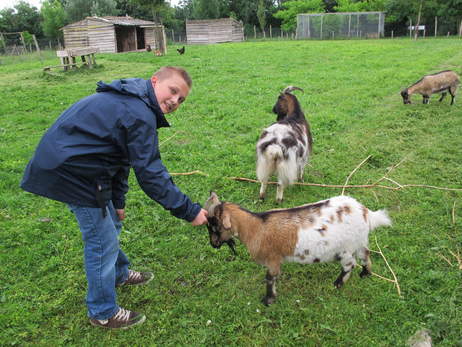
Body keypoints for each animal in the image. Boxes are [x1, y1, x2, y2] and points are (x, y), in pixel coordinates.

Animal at [205, 193, 390, 308]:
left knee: (350, 264)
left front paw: (268, 300)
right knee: (365, 254)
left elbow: (270, 279)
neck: (256, 227)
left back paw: (337, 284)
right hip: (359, 241)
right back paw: (365, 274)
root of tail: (365, 213)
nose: (213, 244)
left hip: (345, 249)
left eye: (214, 225)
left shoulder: (273, 260)